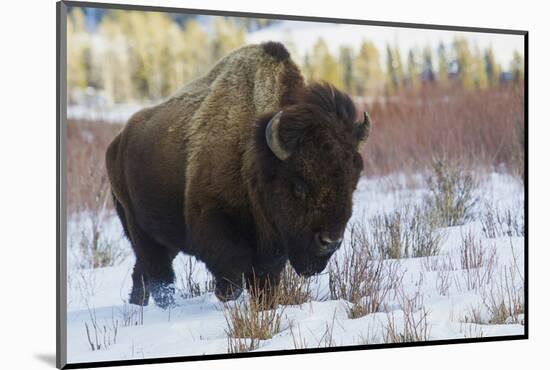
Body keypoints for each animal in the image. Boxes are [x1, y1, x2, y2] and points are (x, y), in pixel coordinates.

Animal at [105, 42, 374, 308]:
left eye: (353, 184)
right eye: (299, 185)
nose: (330, 242)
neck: (255, 151)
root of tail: (117, 143)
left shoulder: (271, 249)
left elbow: (264, 282)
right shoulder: (218, 228)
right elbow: (232, 279)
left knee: (142, 273)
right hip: (141, 230)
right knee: (159, 276)